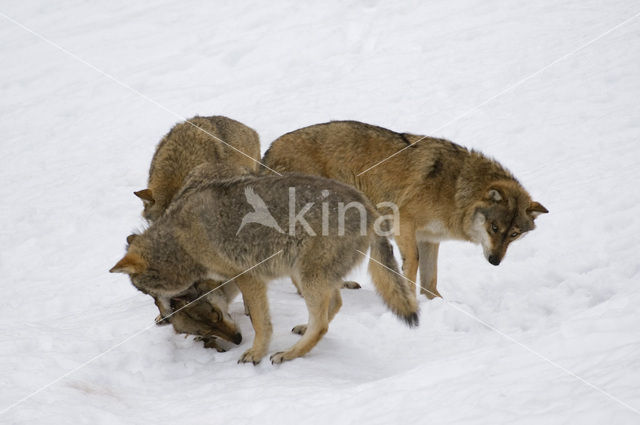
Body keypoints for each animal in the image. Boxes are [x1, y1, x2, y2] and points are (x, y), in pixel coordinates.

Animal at [110, 173, 420, 364]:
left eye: (147, 292)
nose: (162, 317)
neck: (182, 241)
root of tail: (368, 207)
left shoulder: (248, 277)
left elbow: (260, 322)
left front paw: (255, 354)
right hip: (303, 273)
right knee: (334, 305)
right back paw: (302, 331)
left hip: (307, 276)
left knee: (322, 323)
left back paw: (288, 355)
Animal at [262, 119, 548, 298]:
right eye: (494, 228)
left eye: (513, 235)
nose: (495, 261)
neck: (456, 190)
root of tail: (268, 151)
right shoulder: (404, 224)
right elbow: (412, 265)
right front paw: (410, 298)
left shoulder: (430, 239)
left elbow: (431, 279)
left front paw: (436, 303)